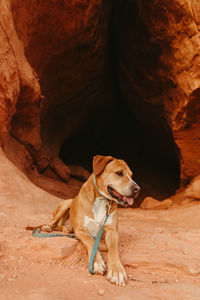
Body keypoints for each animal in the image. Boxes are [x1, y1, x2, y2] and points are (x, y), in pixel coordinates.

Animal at [39, 156, 140, 284]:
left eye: (131, 175)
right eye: (119, 173)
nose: (137, 189)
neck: (102, 200)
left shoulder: (112, 231)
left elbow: (113, 249)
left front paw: (116, 270)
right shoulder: (81, 230)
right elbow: (91, 241)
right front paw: (97, 262)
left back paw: (67, 228)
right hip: (66, 203)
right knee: (54, 221)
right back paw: (48, 227)